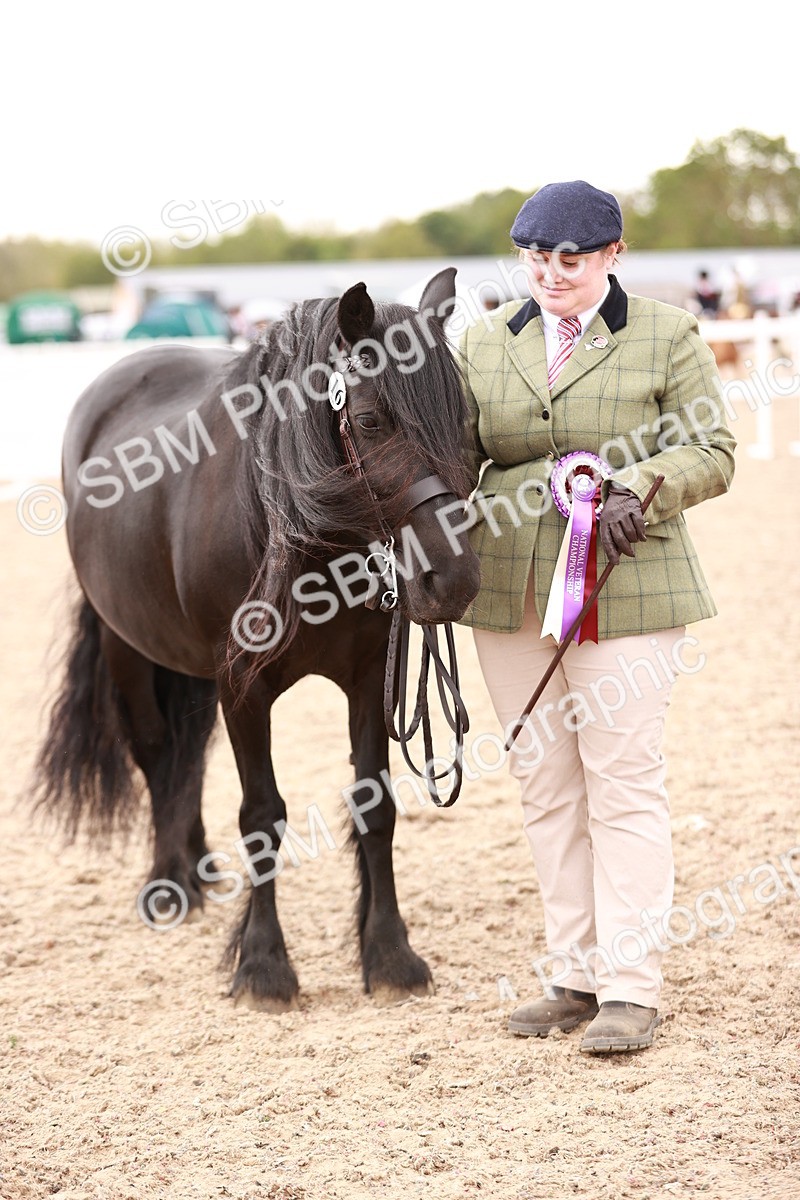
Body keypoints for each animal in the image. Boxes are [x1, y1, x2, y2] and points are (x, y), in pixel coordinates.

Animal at [33, 267, 481, 1011]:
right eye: (369, 421)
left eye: (468, 422)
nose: (453, 580)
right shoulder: (242, 687)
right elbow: (262, 815)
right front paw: (264, 964)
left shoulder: (367, 678)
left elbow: (375, 804)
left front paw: (388, 952)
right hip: (130, 645)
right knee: (156, 752)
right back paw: (169, 882)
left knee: (186, 757)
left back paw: (196, 865)